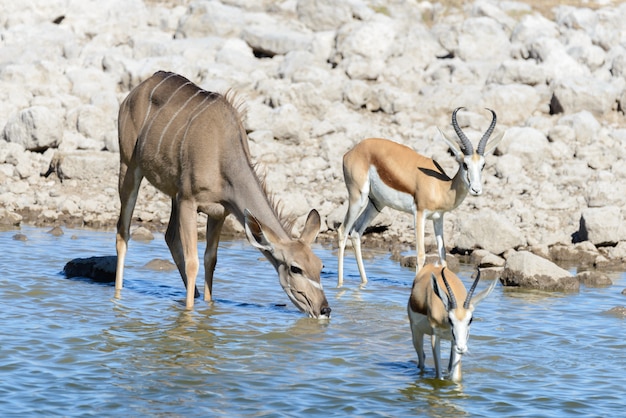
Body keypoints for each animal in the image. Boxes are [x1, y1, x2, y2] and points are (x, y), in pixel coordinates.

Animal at [116, 72, 332, 318]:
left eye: (320, 265)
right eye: (296, 268)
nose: (324, 309)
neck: (222, 153)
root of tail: (139, 88)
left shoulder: (219, 212)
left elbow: (210, 259)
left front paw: (208, 306)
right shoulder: (189, 200)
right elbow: (193, 262)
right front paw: (189, 314)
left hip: (173, 193)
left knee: (170, 237)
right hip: (129, 166)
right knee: (123, 232)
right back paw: (118, 296)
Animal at [334, 106, 500, 286]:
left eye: (483, 165)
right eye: (465, 164)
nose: (476, 189)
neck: (440, 187)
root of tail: (351, 151)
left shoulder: (438, 218)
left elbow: (443, 257)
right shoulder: (419, 214)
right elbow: (421, 255)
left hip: (376, 204)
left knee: (356, 233)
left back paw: (364, 282)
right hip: (358, 198)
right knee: (343, 231)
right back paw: (340, 284)